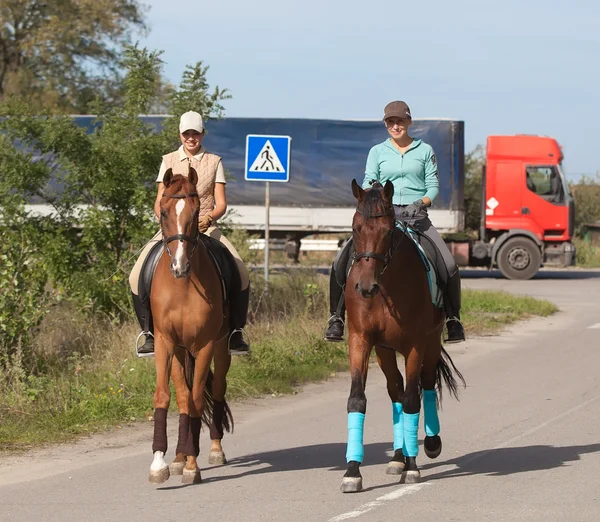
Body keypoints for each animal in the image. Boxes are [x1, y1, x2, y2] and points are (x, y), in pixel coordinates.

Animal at [149, 168, 233, 484]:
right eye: (163, 211)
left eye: (196, 212)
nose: (179, 266)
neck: (183, 286)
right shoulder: (165, 341)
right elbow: (166, 395)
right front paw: (160, 464)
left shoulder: (205, 344)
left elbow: (198, 398)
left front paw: (192, 465)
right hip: (180, 351)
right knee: (183, 397)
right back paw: (178, 456)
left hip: (220, 346)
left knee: (217, 389)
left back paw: (213, 449)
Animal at [340, 179, 466, 492]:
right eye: (355, 228)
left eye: (387, 231)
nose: (365, 287)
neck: (386, 286)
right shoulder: (361, 340)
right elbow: (357, 399)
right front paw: (352, 471)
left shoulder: (415, 345)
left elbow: (412, 400)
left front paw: (413, 467)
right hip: (384, 350)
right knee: (395, 391)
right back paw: (397, 456)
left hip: (431, 342)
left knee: (426, 385)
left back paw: (429, 445)